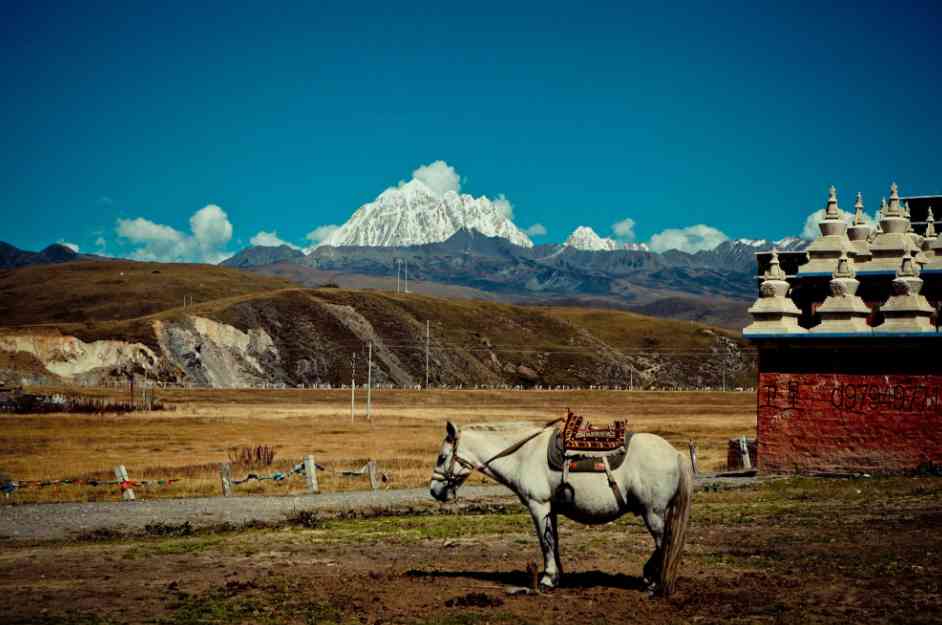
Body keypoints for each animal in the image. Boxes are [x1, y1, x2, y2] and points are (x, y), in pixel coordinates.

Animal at [432, 420, 696, 596]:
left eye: (442, 457)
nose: (434, 491)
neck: (523, 454)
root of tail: (676, 454)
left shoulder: (538, 506)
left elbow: (545, 543)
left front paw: (547, 580)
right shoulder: (552, 509)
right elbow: (554, 541)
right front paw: (557, 577)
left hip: (653, 513)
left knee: (664, 543)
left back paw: (653, 581)